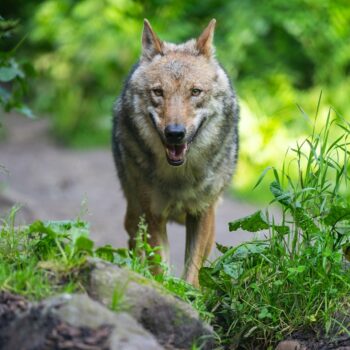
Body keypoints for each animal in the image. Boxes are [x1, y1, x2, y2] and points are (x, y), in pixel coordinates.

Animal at [113, 19, 239, 286]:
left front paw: (189, 293)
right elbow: (160, 269)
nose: (175, 133)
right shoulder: (153, 216)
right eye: (158, 92)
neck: (179, 177)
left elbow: (192, 270)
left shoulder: (202, 213)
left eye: (195, 92)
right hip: (134, 213)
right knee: (134, 244)